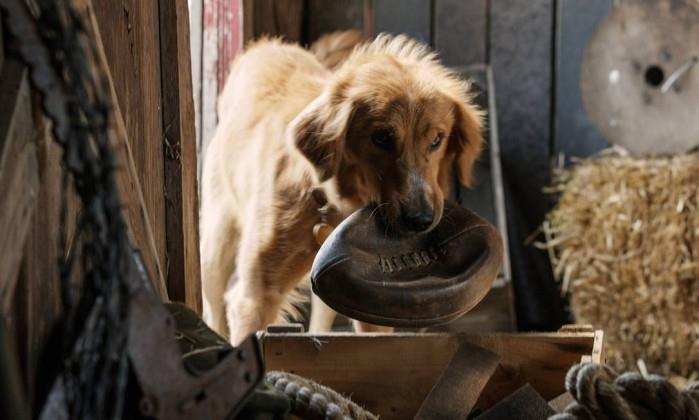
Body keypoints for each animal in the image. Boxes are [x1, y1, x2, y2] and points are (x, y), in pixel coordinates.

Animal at [200, 30, 484, 344]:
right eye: (381, 137)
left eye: (437, 140)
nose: (420, 220)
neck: (330, 201)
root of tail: (265, 46)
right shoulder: (256, 296)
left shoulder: (370, 299)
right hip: (215, 248)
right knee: (212, 307)